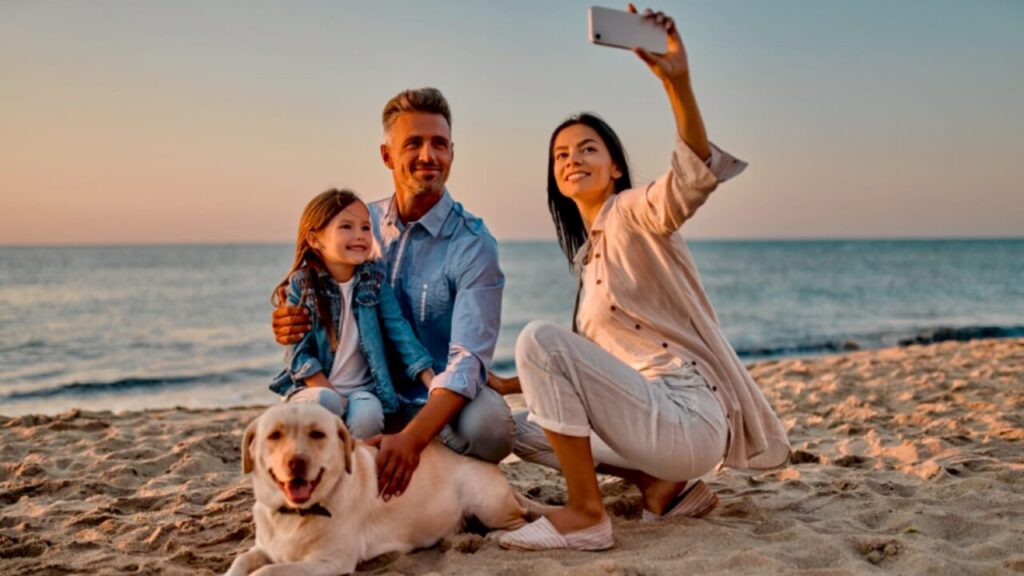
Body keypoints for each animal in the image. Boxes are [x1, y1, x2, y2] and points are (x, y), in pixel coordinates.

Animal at [224, 401, 528, 569]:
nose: (296, 462)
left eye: (317, 434)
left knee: (519, 521)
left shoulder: (328, 563)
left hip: (486, 502)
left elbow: (266, 571)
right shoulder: (263, 549)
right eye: (275, 435)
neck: (293, 514)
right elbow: (241, 561)